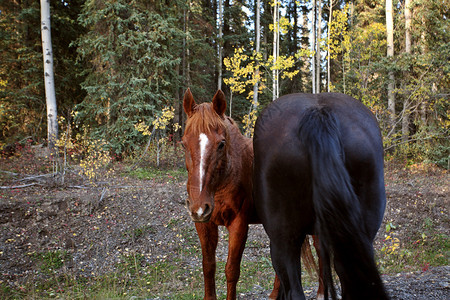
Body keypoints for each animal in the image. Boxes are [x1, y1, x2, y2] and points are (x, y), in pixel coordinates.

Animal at [181, 89, 326, 300]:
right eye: (183, 144)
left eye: (221, 144)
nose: (199, 207)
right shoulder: (204, 224)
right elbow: (208, 267)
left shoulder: (239, 224)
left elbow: (232, 270)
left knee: (320, 249)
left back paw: (321, 293)